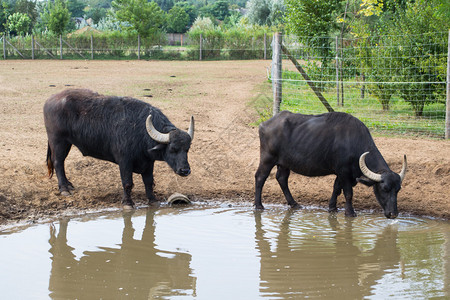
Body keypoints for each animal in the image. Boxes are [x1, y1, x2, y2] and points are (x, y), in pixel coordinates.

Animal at [42, 88, 195, 207]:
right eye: (172, 149)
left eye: (187, 149)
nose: (185, 170)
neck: (140, 131)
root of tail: (49, 100)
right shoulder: (124, 161)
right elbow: (127, 183)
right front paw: (128, 203)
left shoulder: (148, 162)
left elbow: (149, 182)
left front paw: (152, 200)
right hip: (58, 141)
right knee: (58, 162)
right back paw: (64, 189)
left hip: (66, 143)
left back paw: (69, 184)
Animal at [255, 111, 406, 219]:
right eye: (385, 189)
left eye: (398, 189)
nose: (393, 214)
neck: (354, 142)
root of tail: (265, 124)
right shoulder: (344, 172)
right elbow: (348, 193)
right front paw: (350, 213)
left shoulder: (342, 173)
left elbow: (336, 188)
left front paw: (332, 207)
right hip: (267, 159)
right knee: (260, 177)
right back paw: (258, 205)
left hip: (284, 163)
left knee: (282, 178)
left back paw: (294, 204)